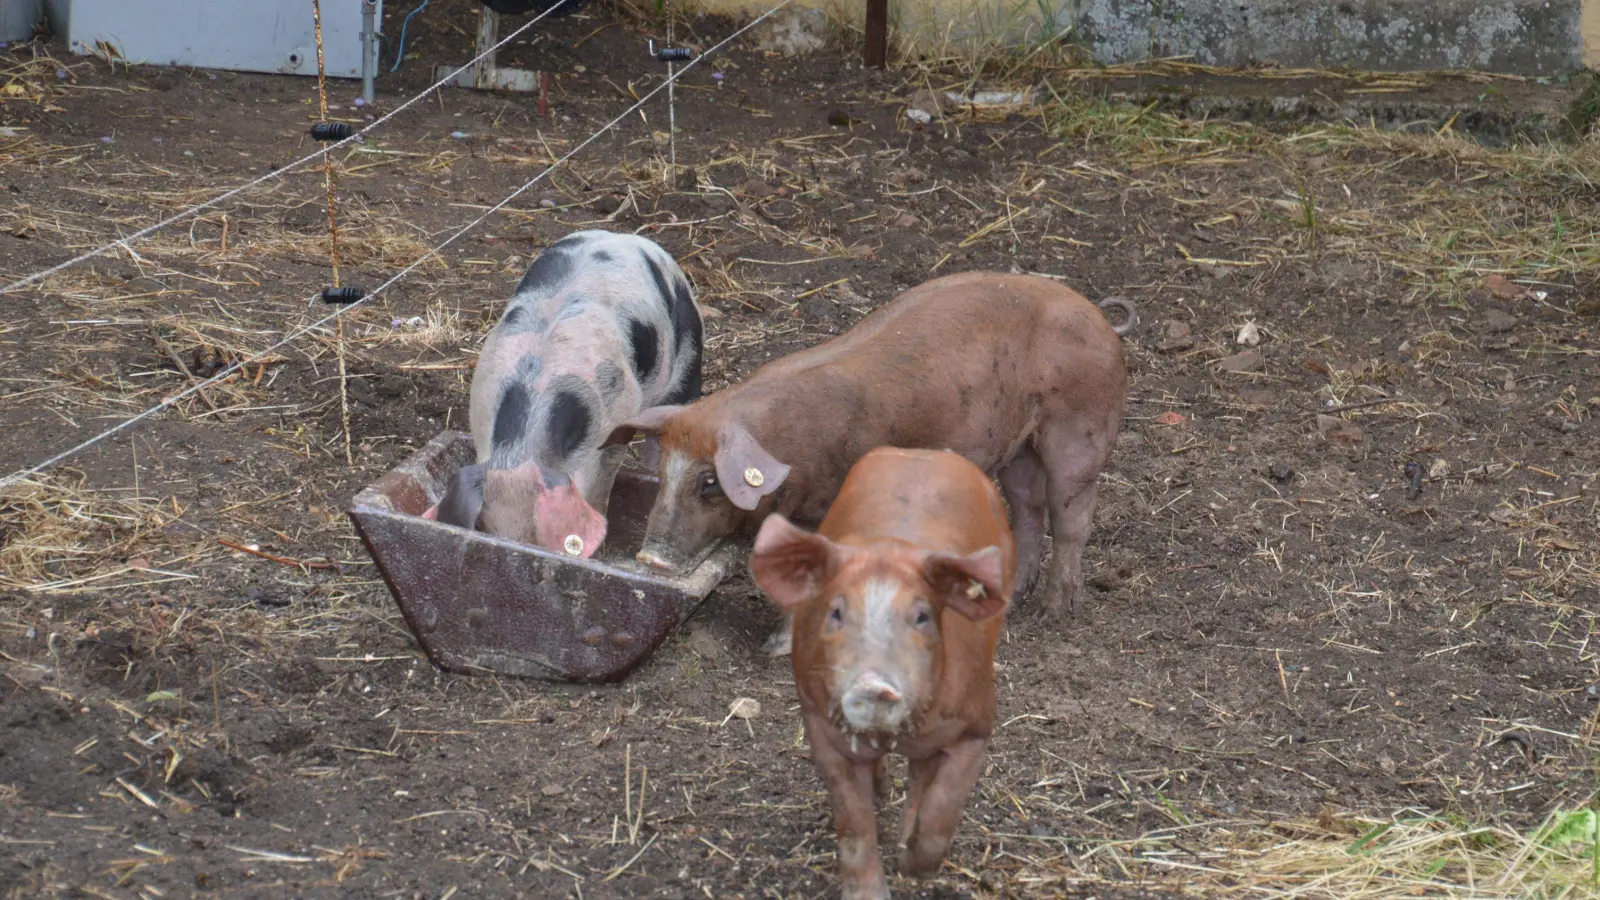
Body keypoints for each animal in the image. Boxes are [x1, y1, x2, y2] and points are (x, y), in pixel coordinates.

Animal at [425, 229, 700, 554]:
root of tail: (624, 237)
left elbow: (607, 474)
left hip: (689, 358)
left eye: (537, 535)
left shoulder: (622, 408)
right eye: (485, 528)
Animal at [752, 445, 1011, 890]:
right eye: (836, 612)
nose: (874, 684)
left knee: (922, 777)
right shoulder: (820, 724)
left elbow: (943, 807)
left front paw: (914, 867)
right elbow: (853, 825)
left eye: (923, 616)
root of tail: (921, 452)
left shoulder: (978, 725)